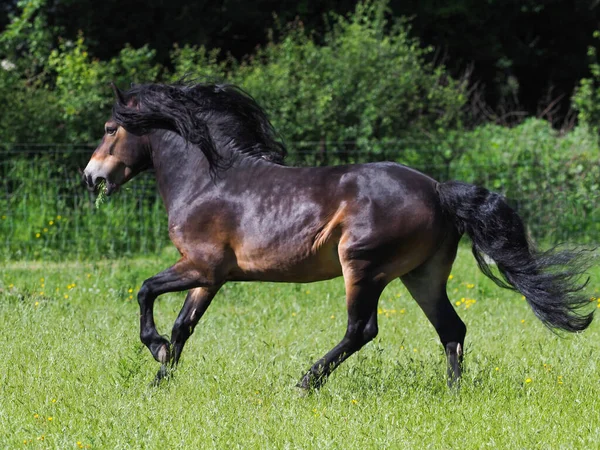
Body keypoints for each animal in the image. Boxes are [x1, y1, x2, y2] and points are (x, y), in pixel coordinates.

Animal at [81, 82, 592, 388]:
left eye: (109, 128)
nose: (90, 177)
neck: (208, 179)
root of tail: (437, 189)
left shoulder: (201, 266)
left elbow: (145, 291)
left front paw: (155, 350)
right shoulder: (211, 277)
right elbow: (183, 326)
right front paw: (160, 380)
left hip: (363, 267)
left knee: (361, 329)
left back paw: (306, 382)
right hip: (423, 276)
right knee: (452, 328)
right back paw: (453, 392)